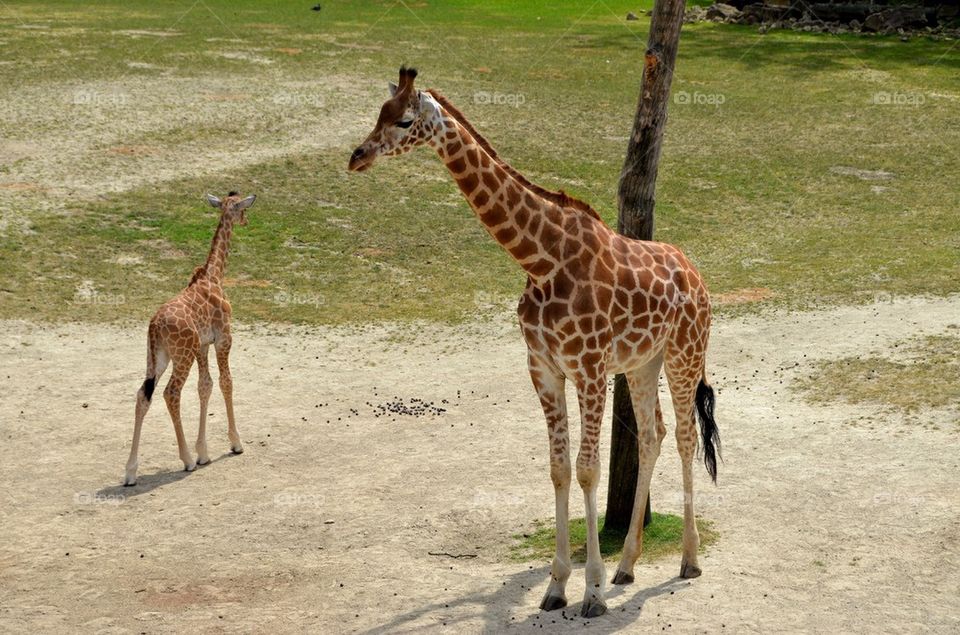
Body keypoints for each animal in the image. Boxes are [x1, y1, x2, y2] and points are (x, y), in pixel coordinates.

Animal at [122, 192, 256, 487]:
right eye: (242, 207)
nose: (246, 221)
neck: (215, 275)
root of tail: (154, 326)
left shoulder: (203, 345)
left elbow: (205, 386)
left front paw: (203, 452)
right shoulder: (224, 338)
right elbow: (226, 382)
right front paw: (235, 443)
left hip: (156, 357)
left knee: (142, 395)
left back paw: (130, 472)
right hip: (180, 356)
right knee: (170, 393)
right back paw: (185, 460)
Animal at [348, 68, 721, 617]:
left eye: (405, 120)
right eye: (379, 112)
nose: (357, 156)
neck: (539, 260)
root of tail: (696, 273)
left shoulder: (588, 367)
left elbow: (588, 471)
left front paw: (591, 593)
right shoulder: (543, 368)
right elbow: (559, 470)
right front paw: (558, 586)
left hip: (684, 352)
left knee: (686, 436)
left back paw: (689, 561)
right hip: (642, 362)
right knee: (653, 435)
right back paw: (628, 565)